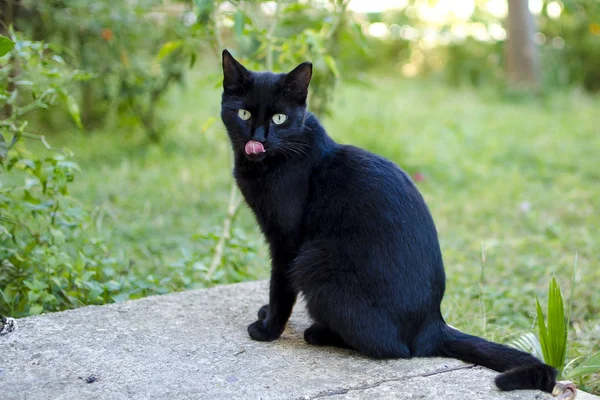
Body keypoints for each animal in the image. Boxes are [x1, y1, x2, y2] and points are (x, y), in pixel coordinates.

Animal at [220, 49, 556, 390]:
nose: (258, 138)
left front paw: (268, 329)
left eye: (280, 118)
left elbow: (280, 287)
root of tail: (432, 325)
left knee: (393, 349)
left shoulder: (286, 242)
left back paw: (319, 332)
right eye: (244, 114)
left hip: (314, 261)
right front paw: (266, 315)